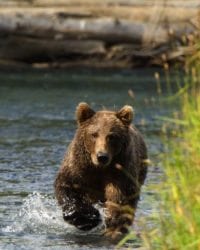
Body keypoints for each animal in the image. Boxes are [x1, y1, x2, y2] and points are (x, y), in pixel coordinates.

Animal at [54, 102, 148, 238]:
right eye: (94, 134)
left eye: (112, 136)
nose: (102, 156)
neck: (99, 168)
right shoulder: (79, 168)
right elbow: (67, 187)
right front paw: (88, 218)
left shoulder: (120, 171)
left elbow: (121, 197)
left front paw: (114, 225)